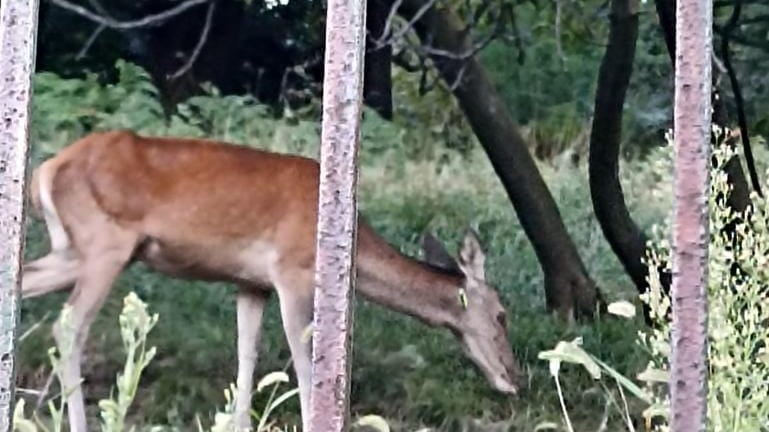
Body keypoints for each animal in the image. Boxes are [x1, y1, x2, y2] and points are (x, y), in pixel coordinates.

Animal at [20, 130, 523, 432]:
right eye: (502, 314)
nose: (515, 377)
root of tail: (44, 171)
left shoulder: (252, 282)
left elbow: (247, 354)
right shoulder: (292, 270)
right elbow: (305, 359)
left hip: (72, 251)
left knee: (23, 283)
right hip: (106, 242)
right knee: (69, 325)